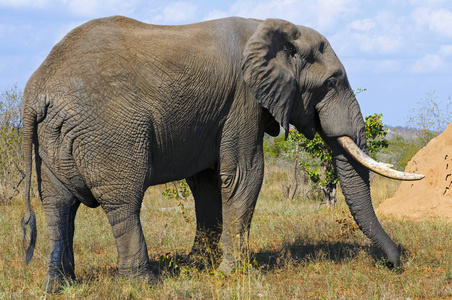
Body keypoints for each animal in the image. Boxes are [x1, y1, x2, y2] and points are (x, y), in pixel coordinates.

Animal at [21, 15, 424, 292]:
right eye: (332, 82)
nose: (395, 264)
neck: (271, 27)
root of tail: (36, 92)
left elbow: (207, 183)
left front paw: (200, 265)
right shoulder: (243, 98)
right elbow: (245, 174)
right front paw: (234, 273)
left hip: (54, 136)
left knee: (58, 204)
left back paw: (59, 286)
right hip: (110, 133)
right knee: (123, 202)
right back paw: (143, 285)